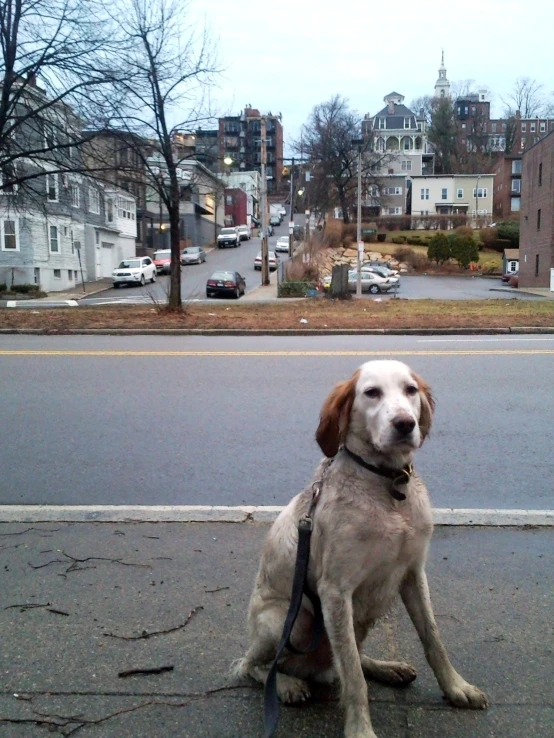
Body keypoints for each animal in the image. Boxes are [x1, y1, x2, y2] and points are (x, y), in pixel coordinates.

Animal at [235, 360, 486, 732]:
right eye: (371, 392)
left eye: (410, 390)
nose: (405, 423)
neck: (388, 487)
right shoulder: (335, 591)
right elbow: (353, 678)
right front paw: (360, 730)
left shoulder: (413, 573)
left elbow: (432, 639)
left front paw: (457, 688)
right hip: (293, 620)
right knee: (254, 665)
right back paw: (286, 684)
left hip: (362, 615)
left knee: (340, 661)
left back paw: (385, 667)